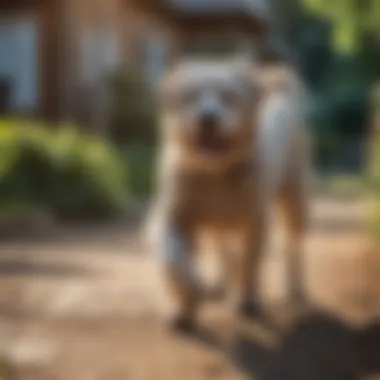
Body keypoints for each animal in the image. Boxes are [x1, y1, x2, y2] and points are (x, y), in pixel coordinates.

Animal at [146, 58, 312, 330]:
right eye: (191, 97)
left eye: (228, 97)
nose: (207, 119)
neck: (215, 172)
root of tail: (280, 91)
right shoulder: (174, 216)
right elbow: (174, 260)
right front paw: (187, 304)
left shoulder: (256, 220)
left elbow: (249, 261)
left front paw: (248, 300)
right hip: (218, 225)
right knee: (222, 249)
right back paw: (218, 283)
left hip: (295, 201)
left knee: (294, 244)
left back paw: (295, 286)